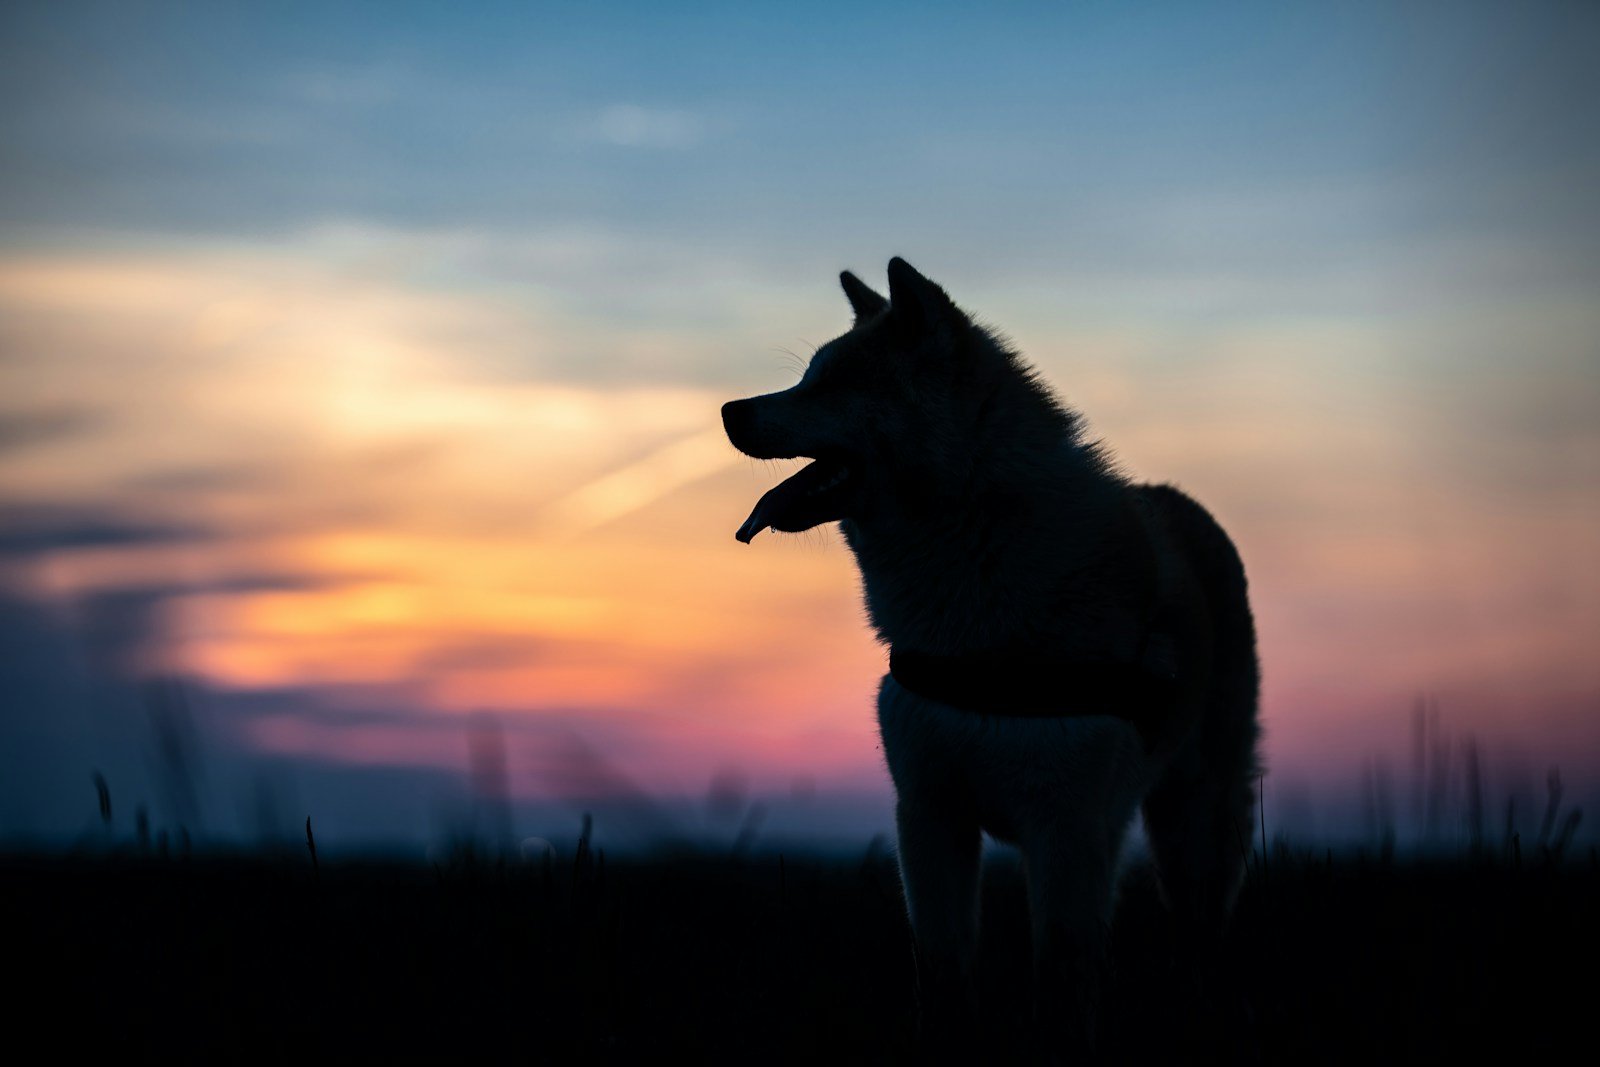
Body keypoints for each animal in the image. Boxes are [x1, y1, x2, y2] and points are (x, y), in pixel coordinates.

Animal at [721, 258, 1259, 1048]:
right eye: (806, 376)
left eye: (835, 383)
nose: (729, 410)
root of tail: (1181, 503)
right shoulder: (930, 814)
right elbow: (945, 973)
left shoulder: (1064, 830)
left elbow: (1060, 983)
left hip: (1195, 826)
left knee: (1200, 942)